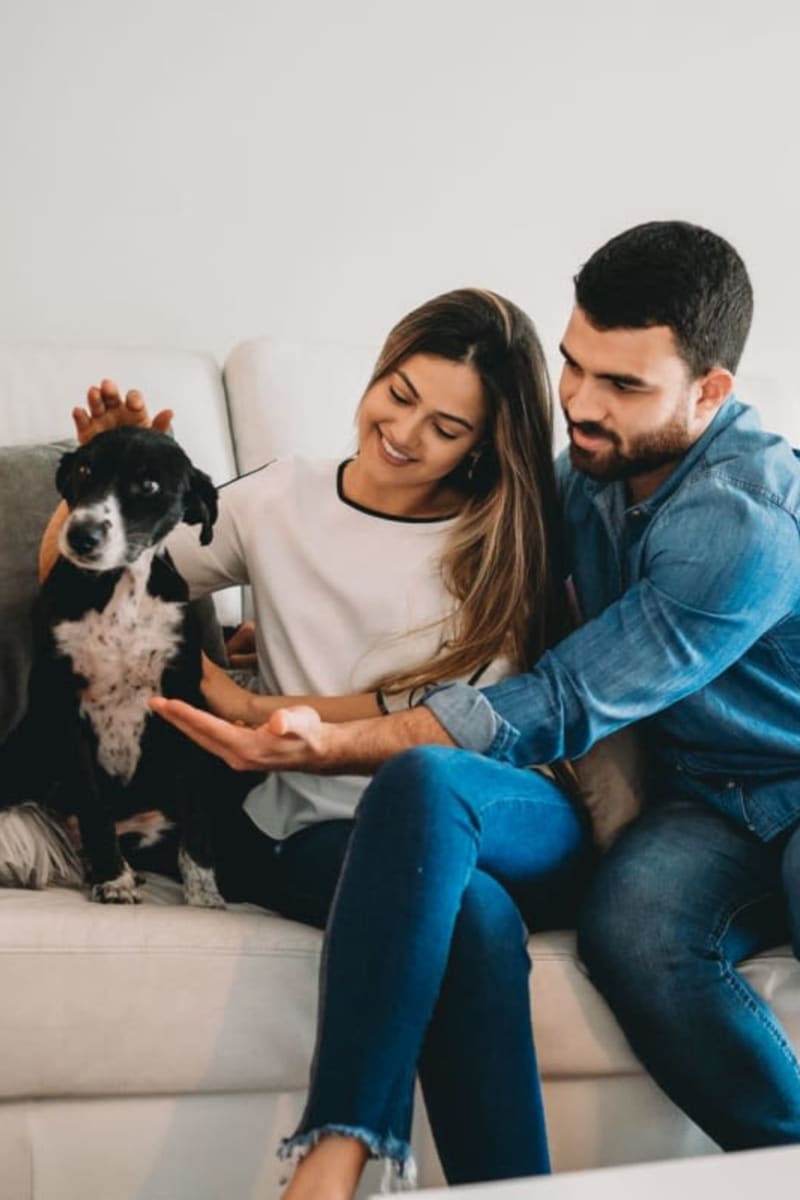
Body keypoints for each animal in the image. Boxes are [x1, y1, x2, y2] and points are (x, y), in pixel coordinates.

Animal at [1, 427, 225, 902]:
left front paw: (204, 894)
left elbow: (197, 810)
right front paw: (113, 878)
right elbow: (93, 804)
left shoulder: (186, 704)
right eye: (85, 469)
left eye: (149, 485)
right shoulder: (65, 707)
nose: (81, 535)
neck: (120, 589)